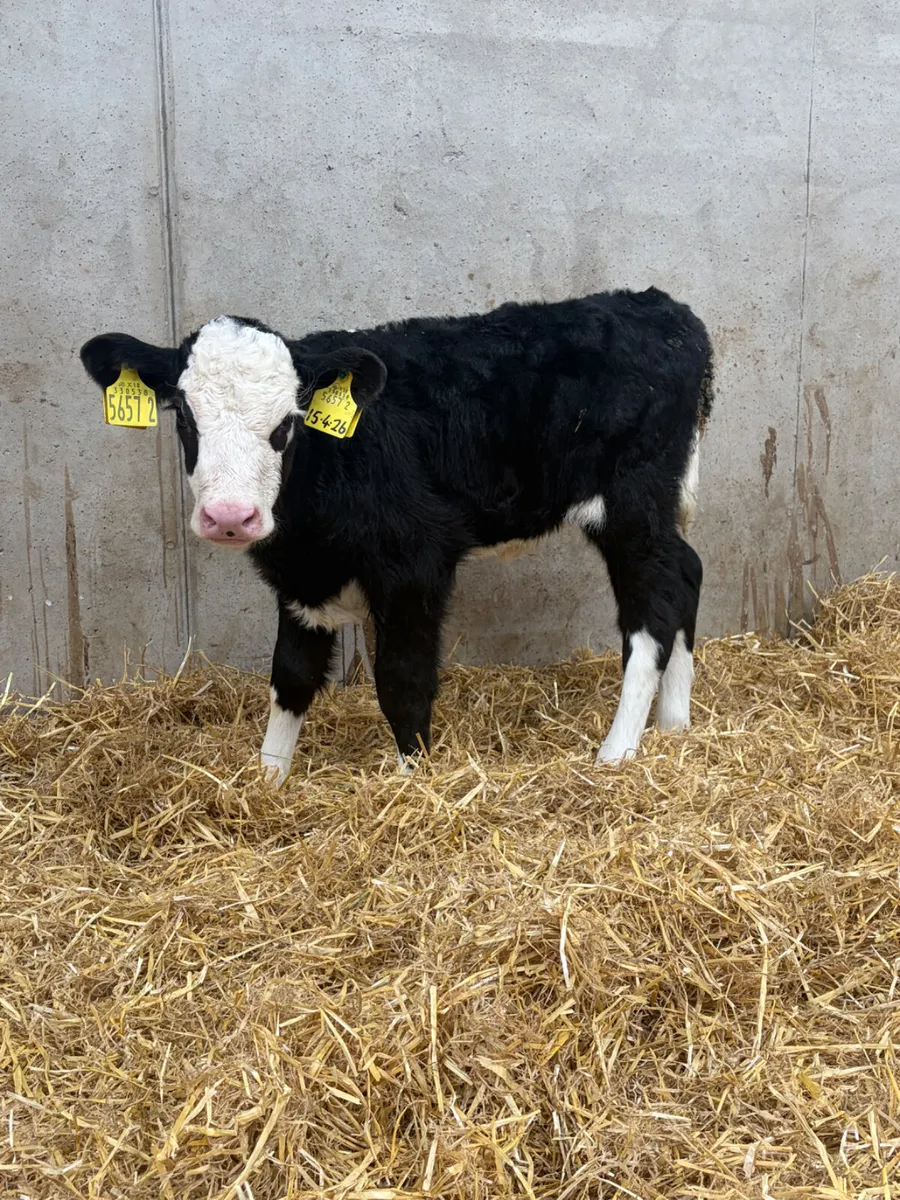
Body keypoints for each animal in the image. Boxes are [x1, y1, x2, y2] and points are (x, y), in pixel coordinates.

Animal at [80, 287, 714, 783]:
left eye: (287, 423)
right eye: (185, 419)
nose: (230, 515)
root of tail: (663, 309)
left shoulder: (416, 562)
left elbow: (401, 680)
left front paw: (416, 783)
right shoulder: (301, 577)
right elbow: (291, 675)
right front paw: (268, 781)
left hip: (632, 503)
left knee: (653, 606)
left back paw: (617, 751)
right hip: (659, 505)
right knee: (686, 571)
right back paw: (675, 726)